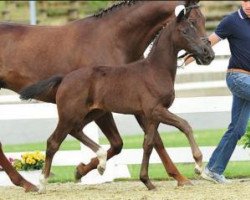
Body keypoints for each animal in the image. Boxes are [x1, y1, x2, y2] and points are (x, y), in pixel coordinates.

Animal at [0, 0, 215, 192]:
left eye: (204, 20)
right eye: (192, 23)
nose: (209, 54)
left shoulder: (142, 110)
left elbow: (150, 141)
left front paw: (178, 178)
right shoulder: (143, 109)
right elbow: (132, 141)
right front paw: (191, 170)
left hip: (84, 112)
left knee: (73, 130)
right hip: (78, 112)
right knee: (52, 140)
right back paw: (32, 183)